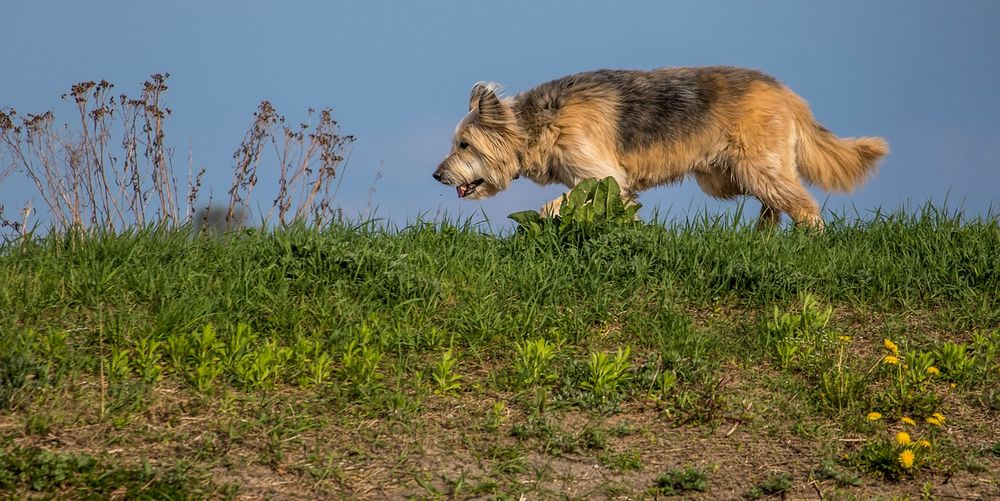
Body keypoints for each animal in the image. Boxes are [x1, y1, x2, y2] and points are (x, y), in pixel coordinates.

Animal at [434, 65, 888, 228]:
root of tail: (788, 93)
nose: (437, 175)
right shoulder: (609, 186)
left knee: (802, 204)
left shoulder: (601, 176)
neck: (536, 125)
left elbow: (558, 206)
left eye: (465, 144)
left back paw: (811, 237)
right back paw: (762, 237)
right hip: (729, 175)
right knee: (774, 202)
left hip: (756, 166)